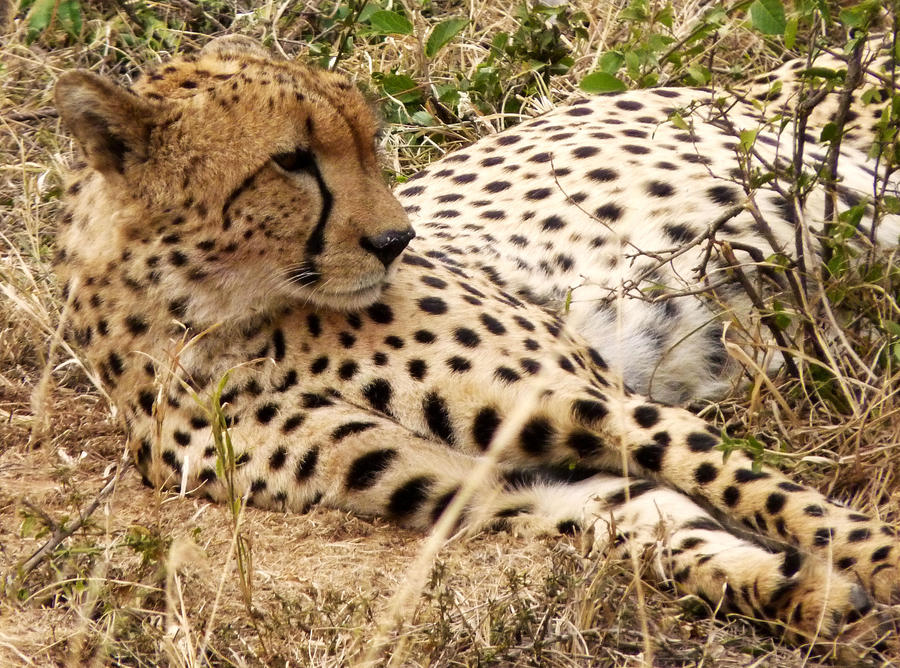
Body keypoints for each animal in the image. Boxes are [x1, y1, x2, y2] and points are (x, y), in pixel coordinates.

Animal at [52, 35, 899, 650]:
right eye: (290, 160)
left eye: (367, 142)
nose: (395, 240)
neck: (219, 315)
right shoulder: (483, 486)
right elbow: (657, 526)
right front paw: (803, 594)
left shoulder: (591, 398)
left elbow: (767, 493)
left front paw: (880, 561)